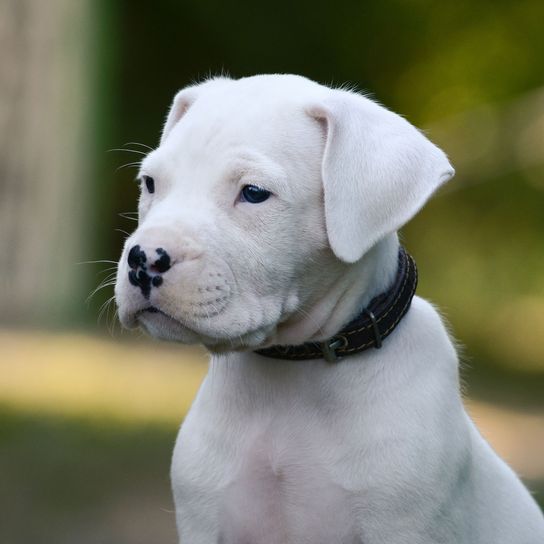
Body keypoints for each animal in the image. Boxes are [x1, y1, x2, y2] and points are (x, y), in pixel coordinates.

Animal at [115, 73, 544, 544]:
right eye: (151, 183)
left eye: (254, 193)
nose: (143, 259)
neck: (295, 372)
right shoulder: (204, 523)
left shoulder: (403, 524)